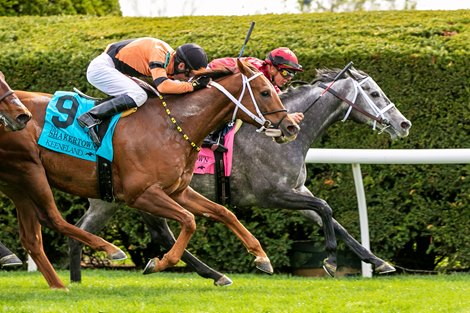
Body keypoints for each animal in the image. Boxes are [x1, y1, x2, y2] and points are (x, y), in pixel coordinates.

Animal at [0, 60, 298, 288]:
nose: (291, 127)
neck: (174, 124)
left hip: (17, 182)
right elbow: (189, 221)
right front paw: (159, 262)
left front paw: (261, 257)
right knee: (51, 218)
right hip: (30, 171)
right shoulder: (141, 194)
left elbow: (224, 212)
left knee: (33, 236)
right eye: (265, 92)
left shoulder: (178, 191)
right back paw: (109, 250)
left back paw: (56, 282)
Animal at [70, 66, 412, 286]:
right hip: (130, 195)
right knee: (153, 232)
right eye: (374, 93)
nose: (403, 124)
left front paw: (378, 262)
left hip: (119, 198)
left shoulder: (298, 191)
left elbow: (331, 218)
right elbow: (326, 207)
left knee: (91, 229)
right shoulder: (272, 195)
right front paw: (329, 260)